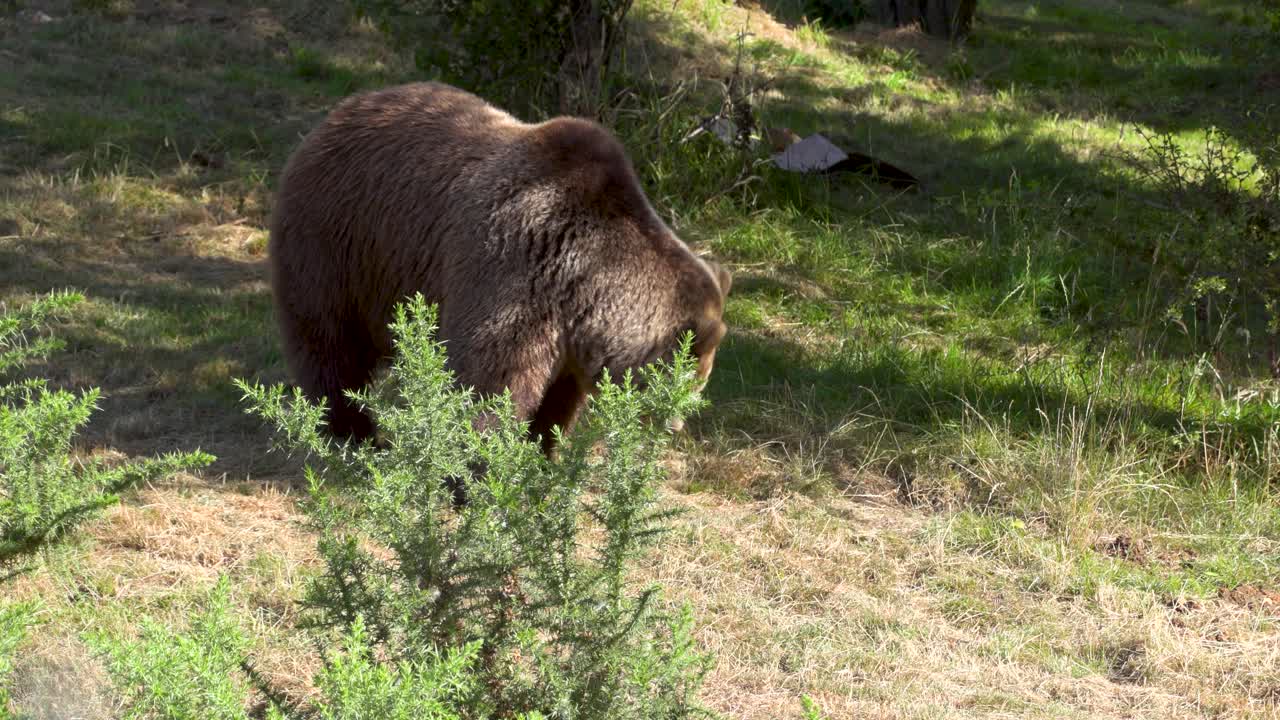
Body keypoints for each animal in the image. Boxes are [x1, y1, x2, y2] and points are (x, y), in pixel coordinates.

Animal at [268, 81, 731, 454]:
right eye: (690, 379)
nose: (675, 425)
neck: (586, 282)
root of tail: (340, 110)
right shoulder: (517, 275)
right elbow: (491, 381)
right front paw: (479, 468)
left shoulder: (570, 337)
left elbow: (557, 401)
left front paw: (541, 452)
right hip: (341, 242)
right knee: (332, 341)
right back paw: (350, 429)